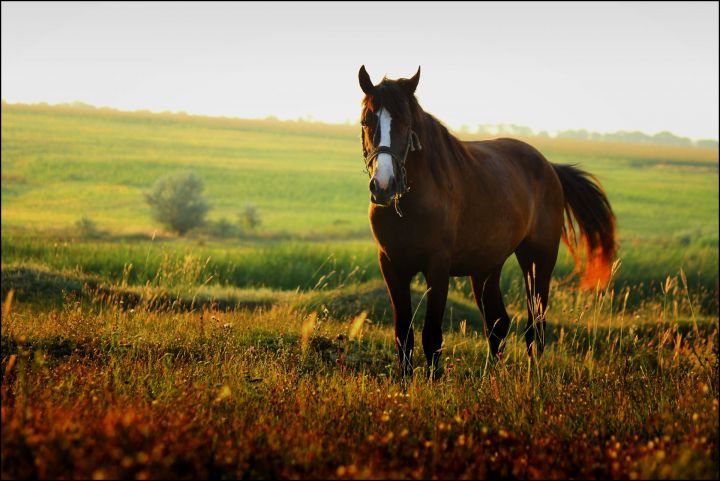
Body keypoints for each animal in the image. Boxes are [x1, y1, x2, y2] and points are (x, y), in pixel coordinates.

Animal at [358, 65, 616, 376]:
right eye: (366, 121)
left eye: (406, 124)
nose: (383, 185)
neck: (411, 204)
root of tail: (549, 168)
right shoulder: (392, 266)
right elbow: (403, 335)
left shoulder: (437, 267)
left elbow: (431, 336)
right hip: (486, 269)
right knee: (498, 323)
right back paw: (494, 375)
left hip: (537, 260)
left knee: (535, 324)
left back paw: (531, 373)